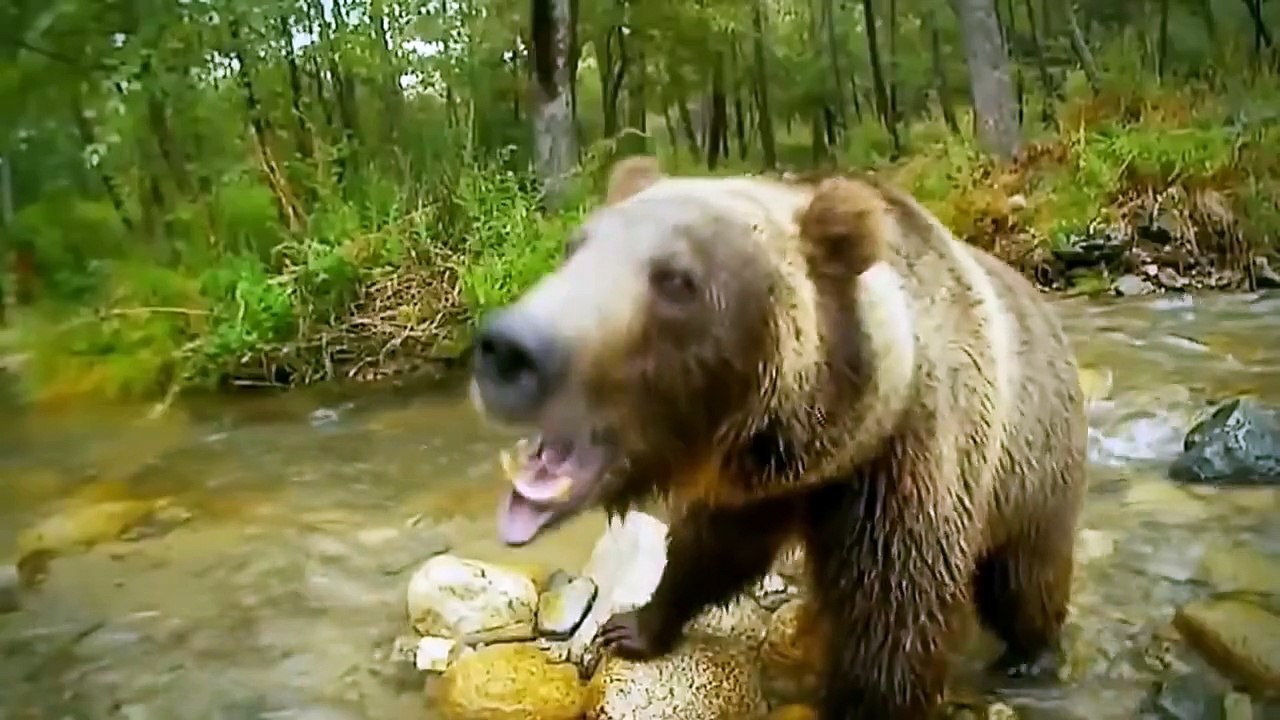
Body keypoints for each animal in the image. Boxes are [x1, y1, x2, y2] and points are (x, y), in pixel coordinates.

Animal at [469, 155, 1087, 720]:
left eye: (676, 279)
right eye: (575, 247)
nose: (508, 349)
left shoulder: (907, 467)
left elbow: (893, 618)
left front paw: (865, 702)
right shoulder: (761, 488)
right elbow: (709, 551)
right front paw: (632, 625)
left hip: (1036, 463)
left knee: (1025, 574)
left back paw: (1030, 653)